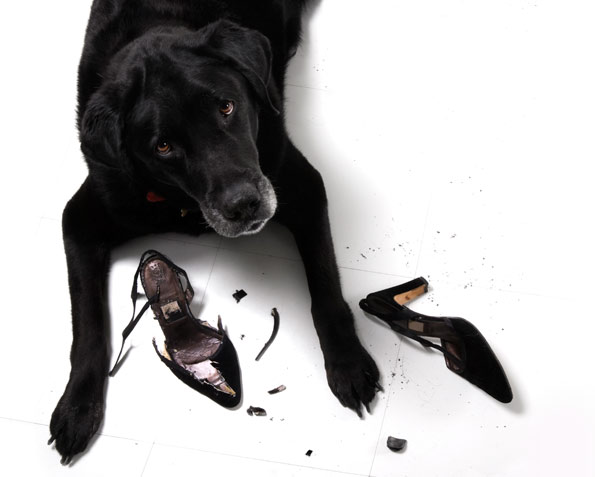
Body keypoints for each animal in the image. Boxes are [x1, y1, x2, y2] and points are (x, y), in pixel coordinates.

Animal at [49, 0, 380, 462]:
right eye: (163, 146)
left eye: (226, 106)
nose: (243, 205)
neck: (183, 204)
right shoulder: (81, 217)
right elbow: (88, 327)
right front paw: (77, 406)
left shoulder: (301, 185)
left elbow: (326, 287)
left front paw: (347, 362)